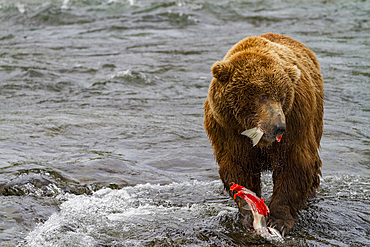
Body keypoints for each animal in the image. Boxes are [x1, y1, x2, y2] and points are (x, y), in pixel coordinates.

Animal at [204, 33, 322, 235]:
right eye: (262, 95)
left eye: (282, 96)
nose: (279, 126)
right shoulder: (228, 130)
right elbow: (239, 166)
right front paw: (249, 214)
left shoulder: (296, 121)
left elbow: (294, 165)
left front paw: (280, 221)